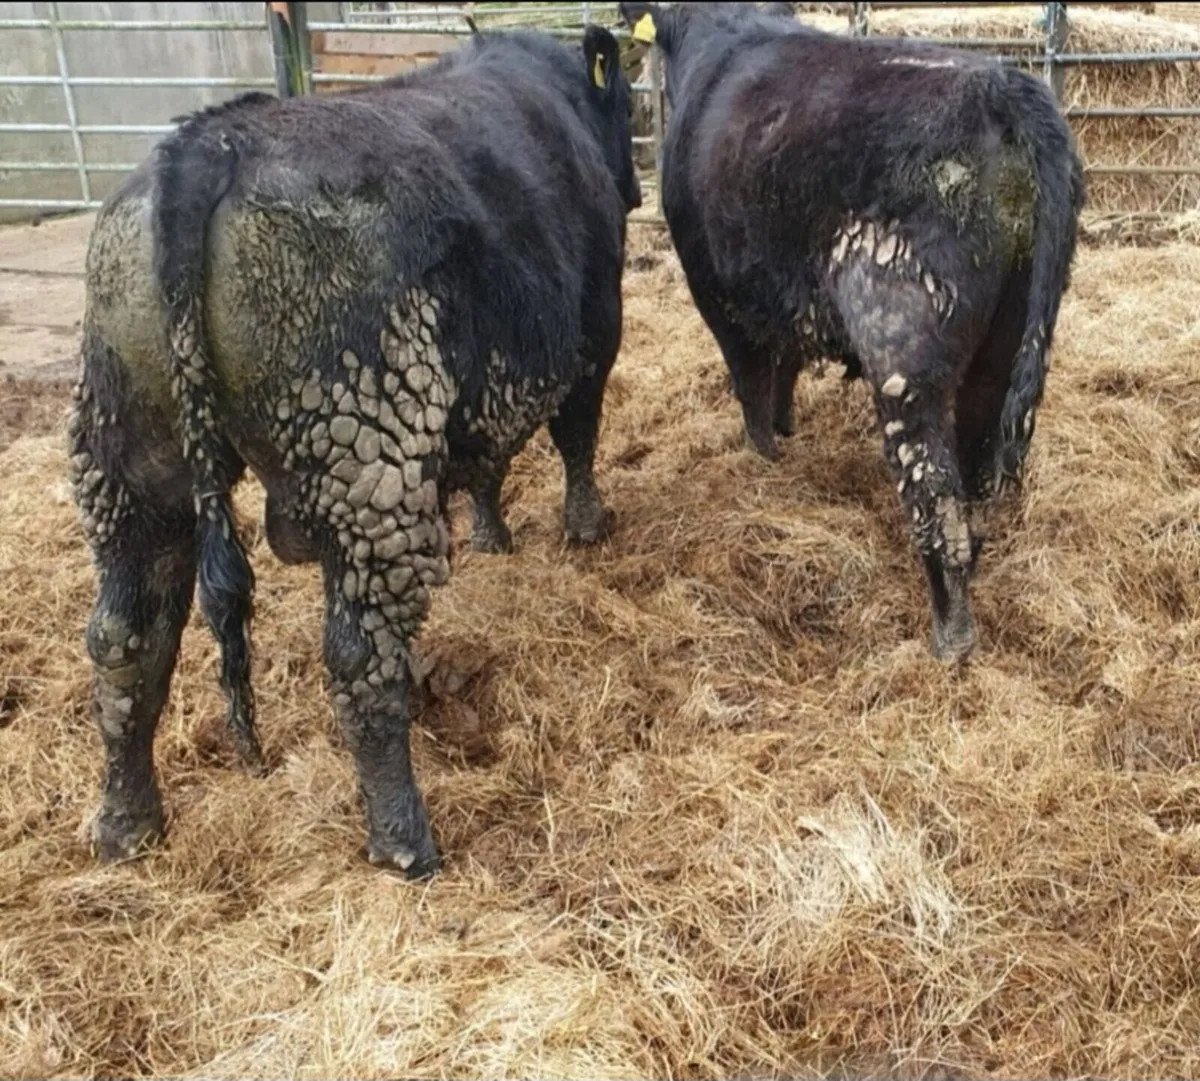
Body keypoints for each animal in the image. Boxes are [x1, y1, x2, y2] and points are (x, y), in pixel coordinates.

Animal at [69, 26, 639, 879]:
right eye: (629, 103)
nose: (635, 190)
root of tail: (207, 143)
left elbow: (488, 465)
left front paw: (489, 535)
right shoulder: (592, 331)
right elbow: (575, 435)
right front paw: (585, 524)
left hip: (127, 459)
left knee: (125, 641)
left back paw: (125, 824)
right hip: (367, 465)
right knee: (360, 660)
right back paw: (404, 840)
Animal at [619, 1, 1085, 662]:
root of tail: (999, 85)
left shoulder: (721, 293)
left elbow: (752, 385)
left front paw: (764, 457)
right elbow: (783, 370)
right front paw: (787, 431)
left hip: (903, 357)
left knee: (936, 499)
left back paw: (951, 636)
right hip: (1006, 341)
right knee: (976, 476)